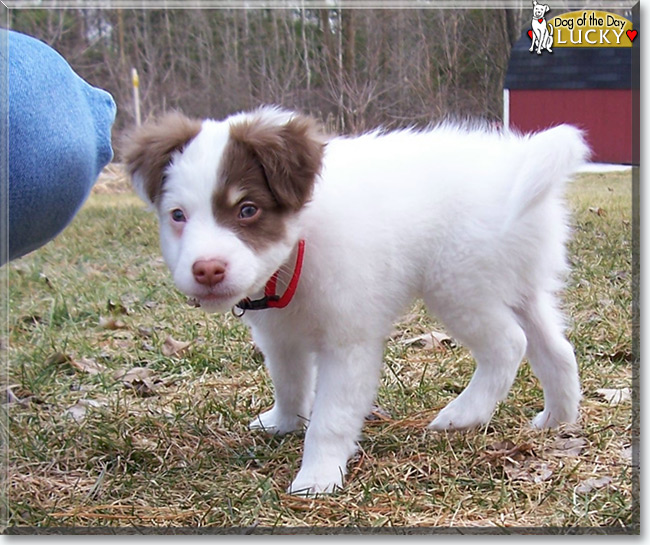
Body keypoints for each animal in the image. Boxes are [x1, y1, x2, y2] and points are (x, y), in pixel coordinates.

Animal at [124, 105, 588, 492]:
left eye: (248, 210)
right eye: (178, 216)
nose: (207, 270)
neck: (296, 250)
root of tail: (519, 160)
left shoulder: (348, 343)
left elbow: (330, 419)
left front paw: (316, 478)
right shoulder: (280, 336)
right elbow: (290, 383)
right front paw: (283, 423)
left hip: (460, 285)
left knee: (508, 345)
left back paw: (464, 413)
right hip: (521, 286)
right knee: (555, 350)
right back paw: (557, 420)